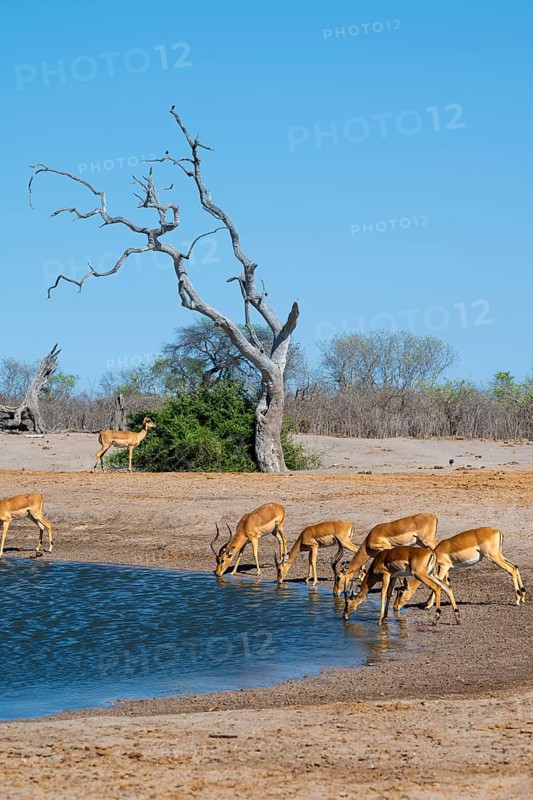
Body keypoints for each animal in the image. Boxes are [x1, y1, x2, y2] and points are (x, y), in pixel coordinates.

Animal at [394, 527, 526, 611]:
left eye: (401, 593)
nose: (395, 607)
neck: (436, 553)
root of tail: (497, 531)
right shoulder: (446, 570)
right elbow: (445, 585)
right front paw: (427, 603)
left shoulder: (444, 567)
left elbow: (437, 585)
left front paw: (427, 606)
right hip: (499, 556)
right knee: (515, 566)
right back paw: (523, 597)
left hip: (493, 557)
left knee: (511, 570)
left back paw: (517, 601)